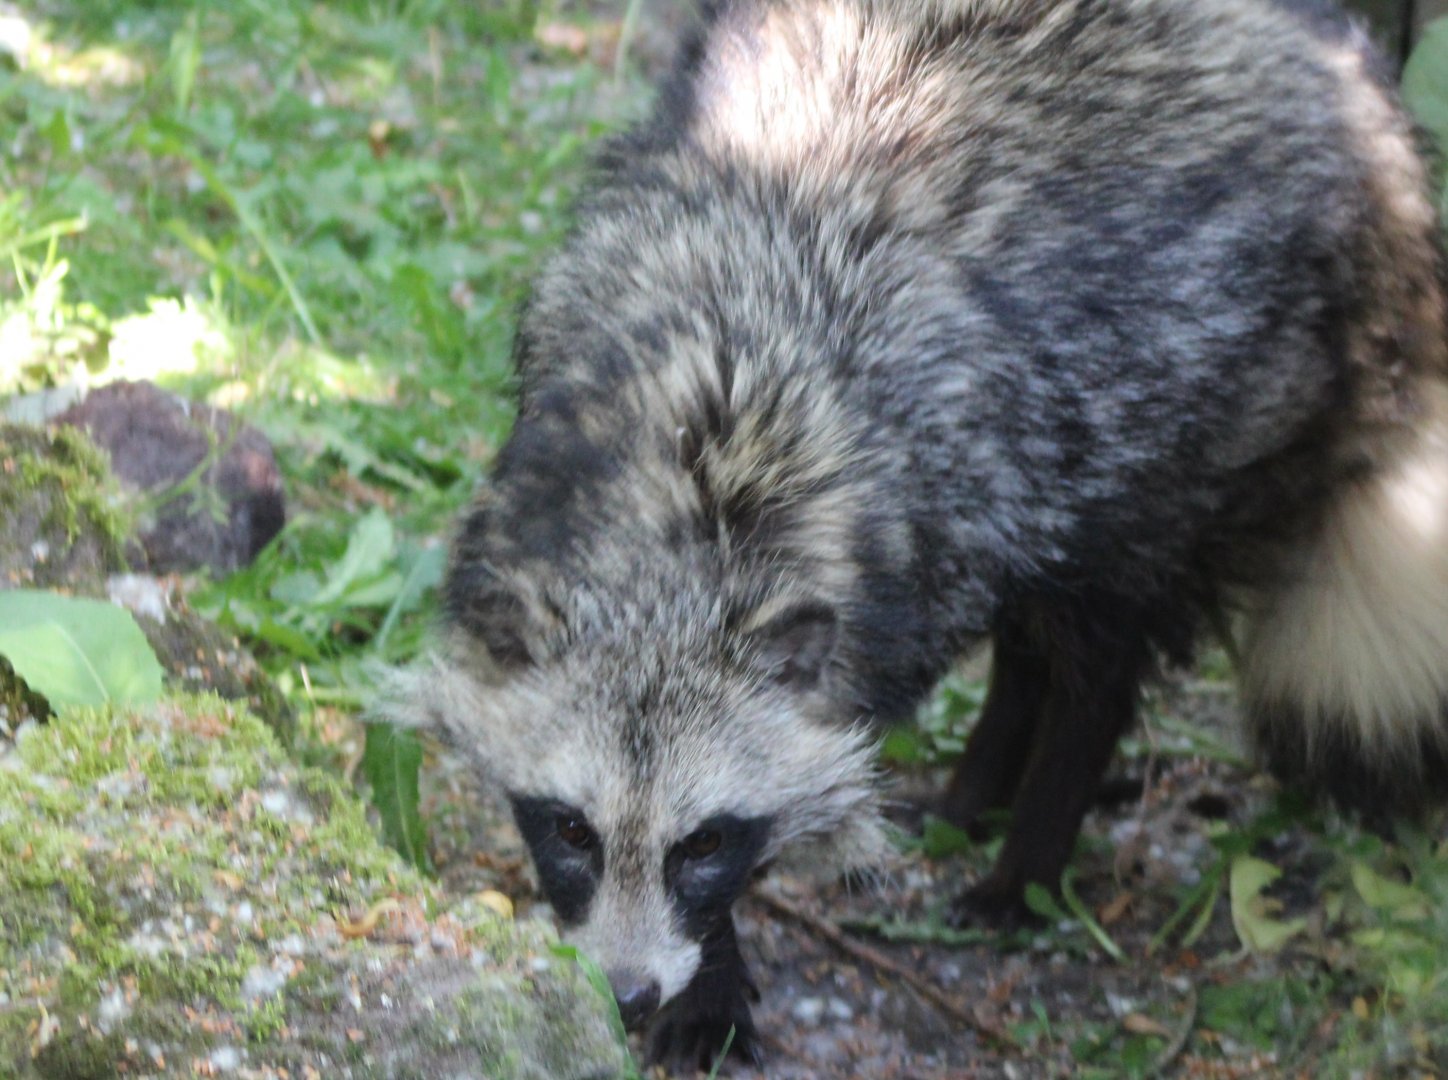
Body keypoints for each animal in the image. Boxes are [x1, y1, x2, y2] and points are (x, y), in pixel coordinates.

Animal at [397, 0, 1448, 1067]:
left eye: (704, 843)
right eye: (572, 830)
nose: (628, 994)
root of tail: (1355, 90)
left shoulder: (945, 472)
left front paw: (714, 970)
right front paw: (718, 969)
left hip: (1199, 380)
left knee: (1100, 629)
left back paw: (1035, 833)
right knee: (1036, 607)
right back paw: (982, 780)